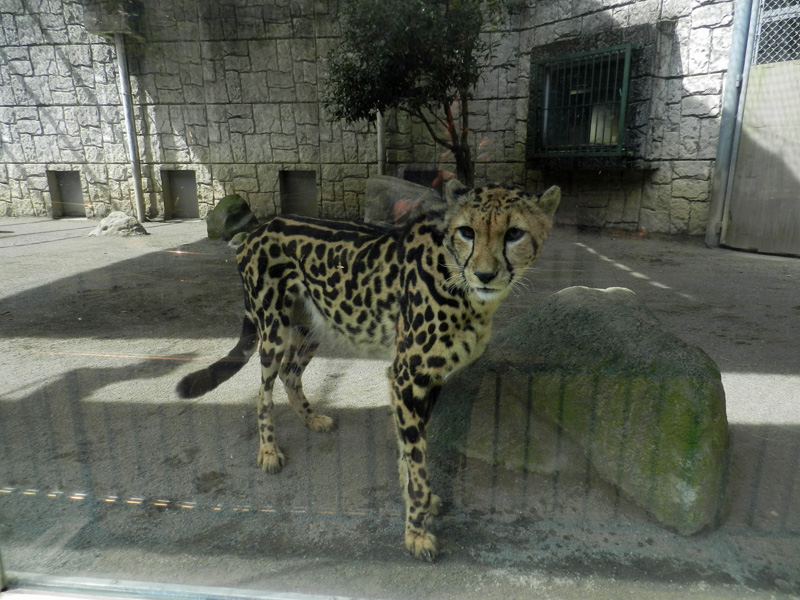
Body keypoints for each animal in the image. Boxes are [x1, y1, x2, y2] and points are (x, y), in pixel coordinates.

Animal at [176, 180, 561, 561]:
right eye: (467, 231)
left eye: (514, 233)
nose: (484, 274)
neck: (460, 282)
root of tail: (259, 228)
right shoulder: (406, 375)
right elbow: (417, 459)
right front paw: (416, 532)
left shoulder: (429, 378)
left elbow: (410, 449)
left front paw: (415, 500)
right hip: (273, 330)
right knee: (263, 389)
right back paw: (268, 451)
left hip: (313, 325)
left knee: (290, 372)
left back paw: (312, 419)